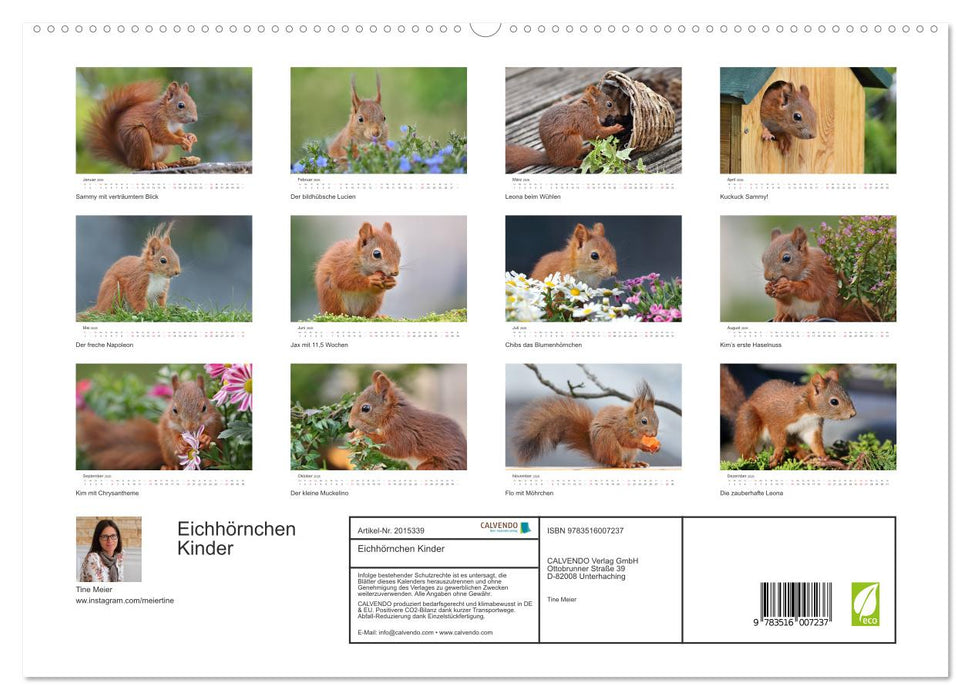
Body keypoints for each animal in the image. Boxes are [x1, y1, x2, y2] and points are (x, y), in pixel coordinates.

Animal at [76, 375, 224, 470]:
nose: (190, 427)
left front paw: (205, 438)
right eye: (174, 410)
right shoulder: (169, 424)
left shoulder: (214, 420)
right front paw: (180, 443)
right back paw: (170, 468)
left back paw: (212, 462)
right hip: (168, 452)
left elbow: (211, 431)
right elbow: (174, 434)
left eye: (204, 407)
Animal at [512, 382, 661, 468]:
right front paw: (644, 446)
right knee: (613, 462)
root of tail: (598, 456)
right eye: (644, 421)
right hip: (609, 442)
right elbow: (627, 441)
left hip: (629, 453)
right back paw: (622, 464)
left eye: (658, 420)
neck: (630, 421)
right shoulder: (621, 428)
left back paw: (635, 463)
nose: (654, 434)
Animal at [720, 366, 856, 469]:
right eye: (834, 401)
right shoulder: (778, 419)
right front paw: (777, 454)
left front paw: (824, 456)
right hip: (749, 419)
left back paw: (802, 454)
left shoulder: (811, 427)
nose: (853, 414)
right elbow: (778, 438)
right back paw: (752, 458)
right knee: (745, 442)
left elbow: (815, 442)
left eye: (847, 394)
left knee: (792, 445)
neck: (808, 412)